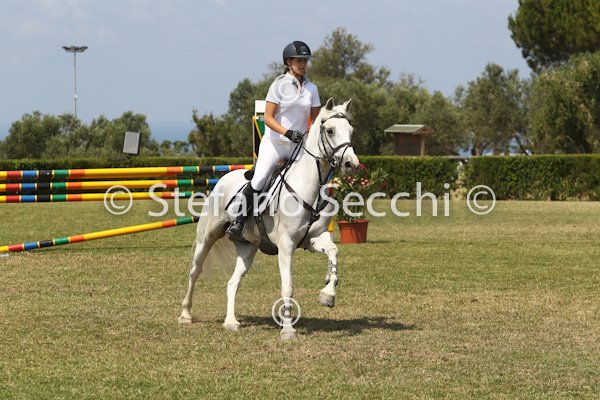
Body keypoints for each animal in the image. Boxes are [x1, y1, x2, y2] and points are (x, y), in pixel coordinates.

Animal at [178, 98, 359, 340]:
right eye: (330, 130)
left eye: (350, 130)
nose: (351, 164)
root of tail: (224, 178)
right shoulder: (286, 245)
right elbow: (288, 285)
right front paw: (288, 329)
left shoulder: (314, 239)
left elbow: (333, 252)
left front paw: (328, 294)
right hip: (207, 236)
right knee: (195, 271)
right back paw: (186, 314)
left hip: (247, 247)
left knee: (232, 283)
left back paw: (231, 321)